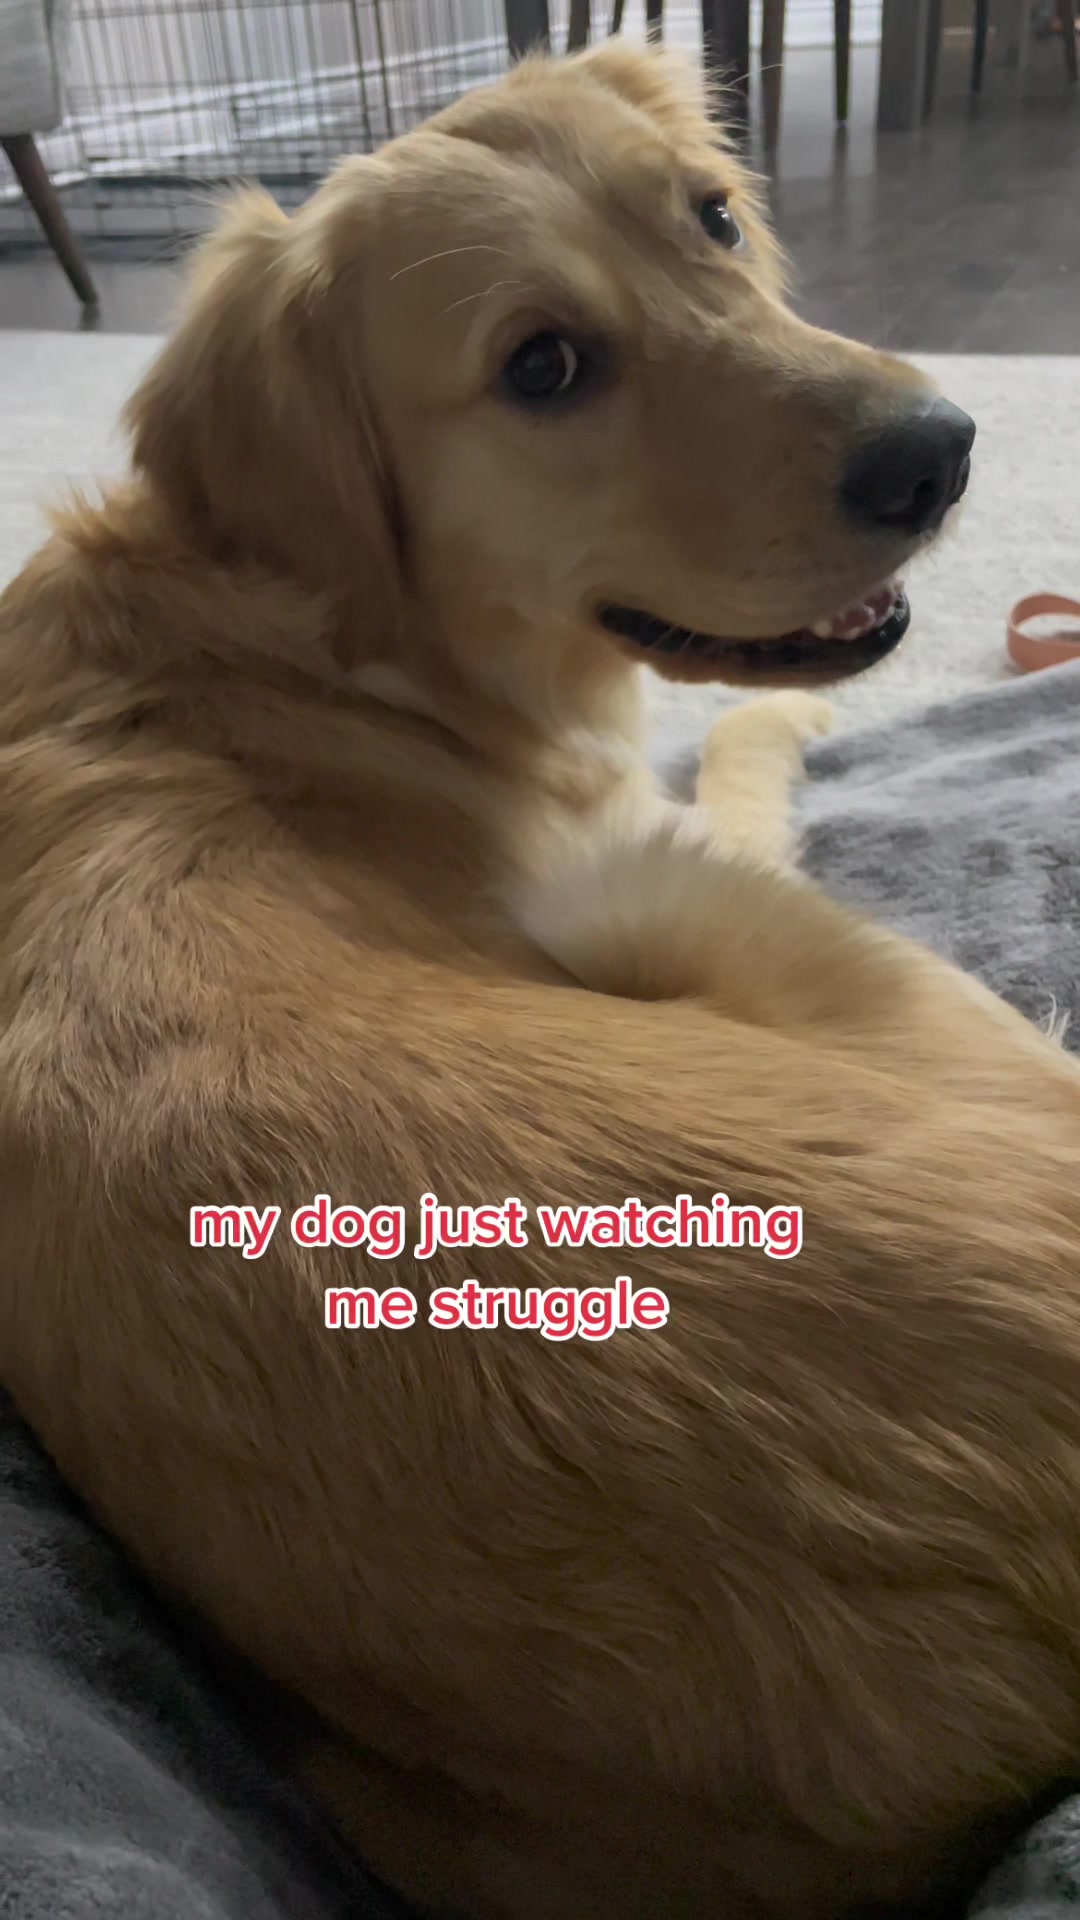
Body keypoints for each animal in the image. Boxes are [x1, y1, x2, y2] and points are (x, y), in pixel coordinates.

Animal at [3, 40, 1080, 1920]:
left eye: (713, 217)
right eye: (544, 367)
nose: (939, 454)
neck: (312, 633)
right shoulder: (663, 833)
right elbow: (734, 742)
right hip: (669, 913)